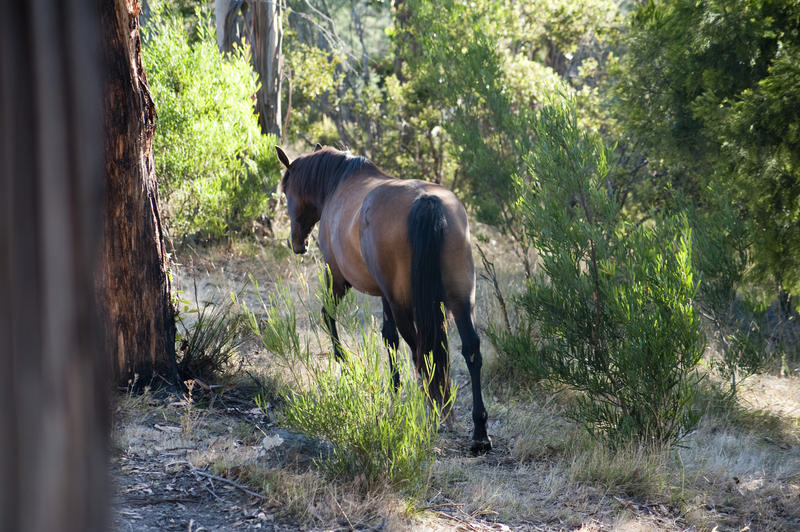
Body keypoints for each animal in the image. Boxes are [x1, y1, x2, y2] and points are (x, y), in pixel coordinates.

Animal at [276, 143, 490, 450]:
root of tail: (427, 202)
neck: (339, 182)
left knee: (421, 352)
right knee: (470, 350)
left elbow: (329, 316)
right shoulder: (386, 296)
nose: (296, 244)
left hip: (405, 304)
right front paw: (394, 389)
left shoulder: (338, 278)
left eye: (286, 192)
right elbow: (389, 338)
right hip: (462, 298)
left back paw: (432, 412)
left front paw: (345, 365)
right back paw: (479, 431)